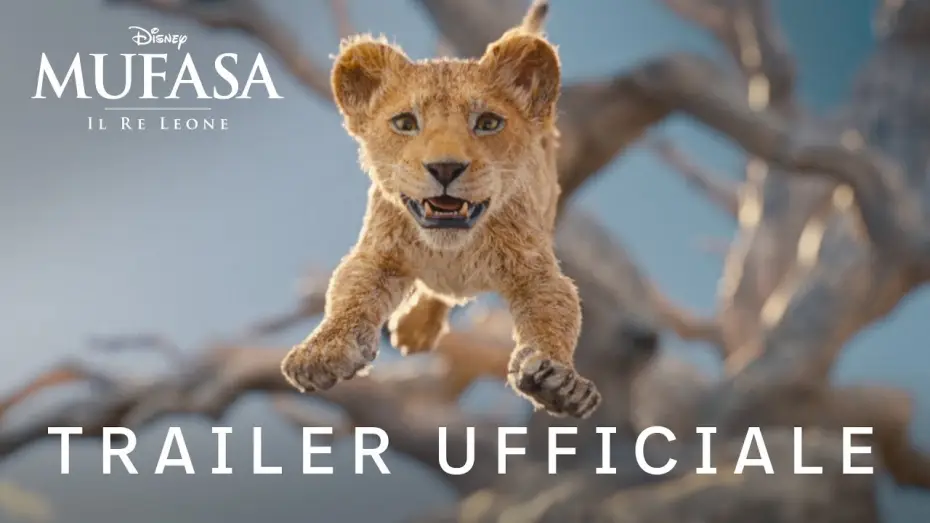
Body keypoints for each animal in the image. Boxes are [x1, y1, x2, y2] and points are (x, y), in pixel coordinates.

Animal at [280, 1, 601, 418]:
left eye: (488, 122)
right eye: (405, 122)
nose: (445, 168)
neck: (454, 249)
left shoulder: (537, 271)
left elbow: (554, 316)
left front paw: (559, 382)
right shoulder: (377, 254)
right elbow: (349, 296)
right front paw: (321, 353)